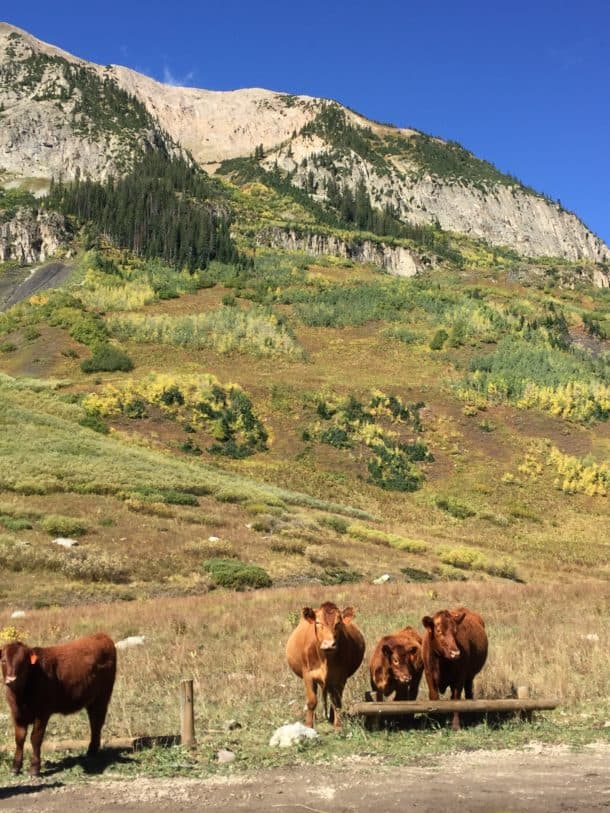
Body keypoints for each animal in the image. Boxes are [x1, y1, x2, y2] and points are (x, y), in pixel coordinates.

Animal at [0, 628, 115, 772]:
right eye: (3, 661)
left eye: (23, 663)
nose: (11, 680)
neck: (21, 697)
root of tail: (101, 635)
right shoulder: (17, 714)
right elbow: (19, 738)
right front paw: (15, 767)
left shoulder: (42, 713)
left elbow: (35, 738)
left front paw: (34, 768)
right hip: (92, 700)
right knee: (94, 722)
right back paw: (91, 751)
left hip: (102, 697)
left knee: (97, 722)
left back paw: (92, 751)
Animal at [284, 600, 364, 728]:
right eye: (317, 622)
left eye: (338, 623)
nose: (329, 644)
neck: (325, 659)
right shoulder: (308, 675)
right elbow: (312, 702)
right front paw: (309, 725)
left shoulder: (340, 677)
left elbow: (337, 702)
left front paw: (338, 726)